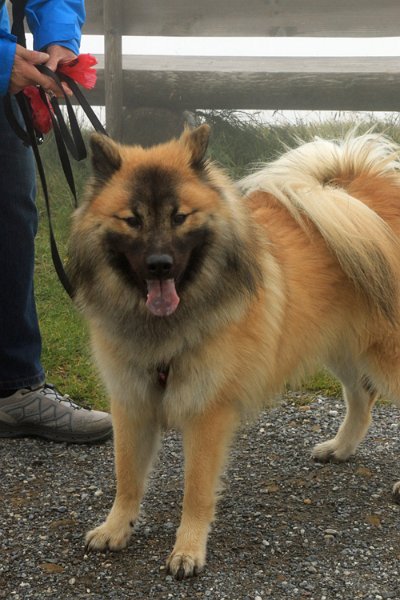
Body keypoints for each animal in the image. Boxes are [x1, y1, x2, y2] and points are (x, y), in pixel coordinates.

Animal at [68, 125, 400, 576]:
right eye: (132, 220)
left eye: (180, 217)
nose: (159, 264)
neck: (168, 325)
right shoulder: (132, 402)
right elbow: (127, 477)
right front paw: (116, 528)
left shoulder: (207, 412)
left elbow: (196, 490)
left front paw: (188, 550)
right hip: (343, 344)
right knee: (362, 398)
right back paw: (340, 448)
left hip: (381, 352)